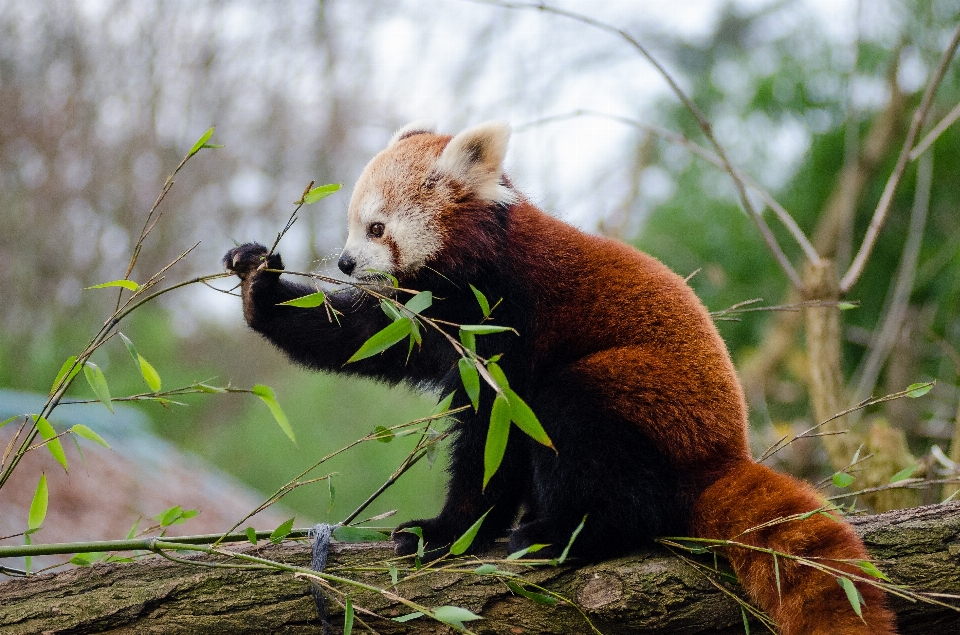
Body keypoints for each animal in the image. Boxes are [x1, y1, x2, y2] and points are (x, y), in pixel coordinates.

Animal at [223, 121, 892, 632]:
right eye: (353, 226)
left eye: (377, 228)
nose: (343, 262)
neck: (475, 262)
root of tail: (725, 454)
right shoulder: (428, 319)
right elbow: (367, 337)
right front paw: (261, 286)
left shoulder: (507, 314)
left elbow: (494, 433)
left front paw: (449, 531)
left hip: (644, 396)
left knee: (577, 423)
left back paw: (567, 534)